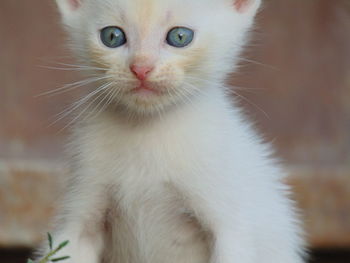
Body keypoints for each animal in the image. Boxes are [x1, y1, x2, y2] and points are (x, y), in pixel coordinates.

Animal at [39, 0, 306, 262]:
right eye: (112, 36)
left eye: (179, 36)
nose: (141, 68)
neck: (146, 131)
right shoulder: (79, 214)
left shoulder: (232, 227)